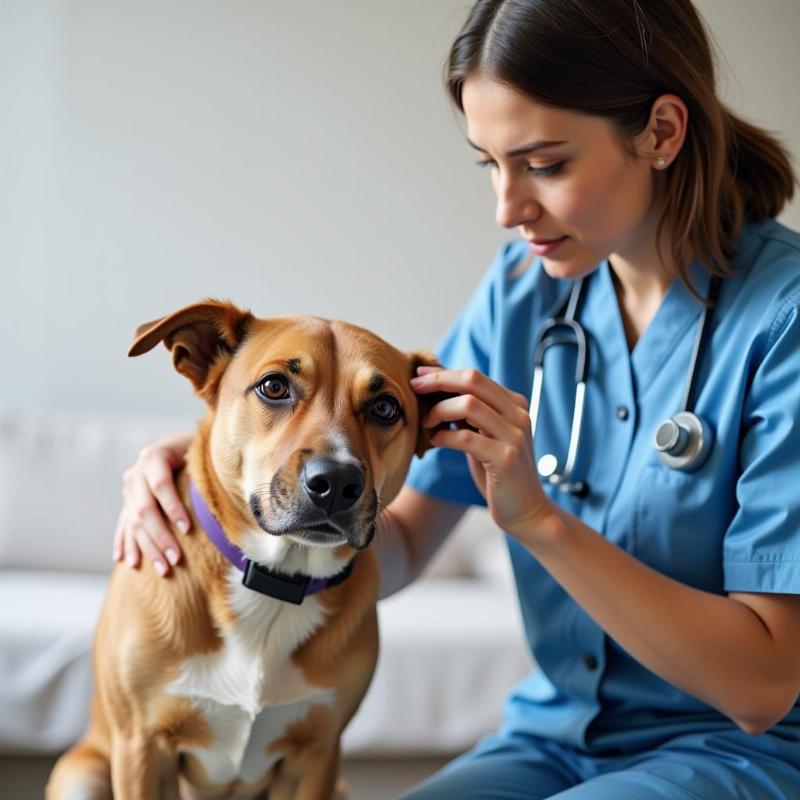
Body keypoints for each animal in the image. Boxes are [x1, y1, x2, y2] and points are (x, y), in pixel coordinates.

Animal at [46, 302, 440, 800]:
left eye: (385, 407)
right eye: (274, 386)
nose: (336, 482)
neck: (275, 580)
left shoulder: (315, 756)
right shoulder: (141, 746)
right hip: (82, 773)